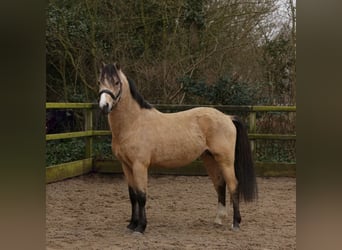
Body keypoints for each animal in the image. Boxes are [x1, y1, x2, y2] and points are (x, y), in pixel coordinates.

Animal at [96, 62, 256, 234]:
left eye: (116, 82)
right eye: (100, 82)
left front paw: (141, 227)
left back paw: (236, 223)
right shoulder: (126, 165)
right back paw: (218, 219)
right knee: (220, 185)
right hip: (210, 159)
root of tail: (227, 117)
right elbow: (132, 196)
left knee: (233, 186)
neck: (134, 123)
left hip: (225, 160)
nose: (104, 106)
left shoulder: (140, 165)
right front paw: (132, 224)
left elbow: (141, 196)